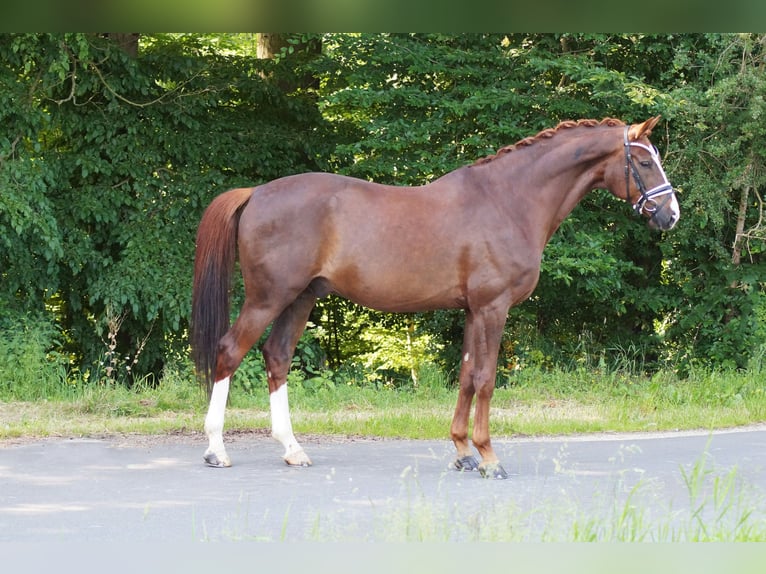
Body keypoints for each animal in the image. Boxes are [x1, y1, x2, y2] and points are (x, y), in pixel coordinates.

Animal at [194, 117, 684, 482]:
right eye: (644, 160)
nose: (671, 215)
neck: (508, 201)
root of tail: (256, 192)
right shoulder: (493, 308)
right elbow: (486, 379)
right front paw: (489, 458)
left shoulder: (471, 311)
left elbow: (466, 377)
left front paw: (463, 452)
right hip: (268, 297)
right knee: (230, 351)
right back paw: (216, 449)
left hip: (300, 299)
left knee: (276, 357)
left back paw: (293, 450)